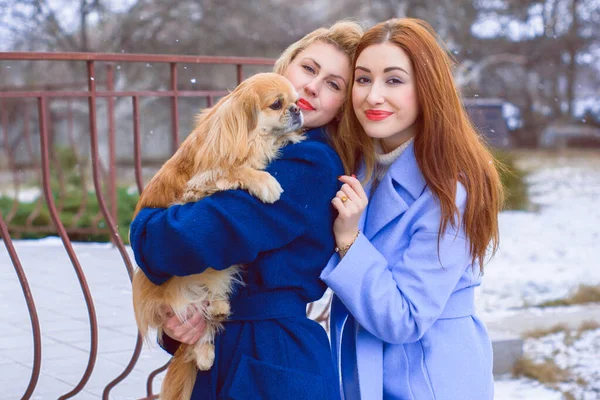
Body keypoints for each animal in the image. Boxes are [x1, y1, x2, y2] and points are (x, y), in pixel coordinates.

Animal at [129, 72, 302, 400]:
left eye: (298, 100)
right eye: (277, 104)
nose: (299, 110)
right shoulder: (201, 182)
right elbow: (237, 169)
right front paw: (265, 181)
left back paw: (215, 323)